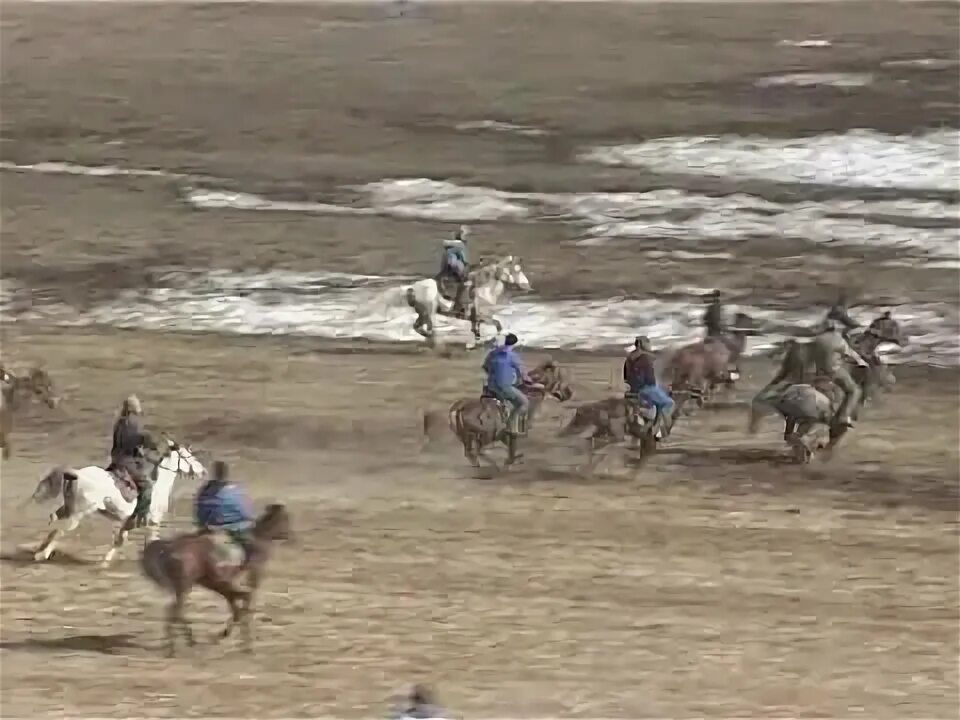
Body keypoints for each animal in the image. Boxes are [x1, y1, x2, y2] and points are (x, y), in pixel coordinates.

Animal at [28, 438, 205, 568]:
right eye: (190, 457)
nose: (203, 471)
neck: (158, 486)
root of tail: (77, 473)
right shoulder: (153, 522)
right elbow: (150, 541)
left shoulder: (128, 523)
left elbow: (119, 542)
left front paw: (105, 562)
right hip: (78, 513)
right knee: (60, 530)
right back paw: (41, 554)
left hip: (68, 508)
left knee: (53, 520)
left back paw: (40, 549)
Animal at [141, 504, 292, 656]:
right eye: (286, 519)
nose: (290, 536)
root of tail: (168, 549)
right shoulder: (246, 582)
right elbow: (243, 608)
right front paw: (236, 640)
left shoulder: (227, 587)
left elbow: (237, 609)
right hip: (185, 586)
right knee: (176, 610)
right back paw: (180, 644)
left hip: (184, 587)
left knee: (173, 610)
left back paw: (180, 643)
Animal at [388, 256, 532, 348]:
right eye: (516, 271)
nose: (528, 287)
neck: (484, 291)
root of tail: (414, 287)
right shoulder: (483, 316)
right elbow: (498, 325)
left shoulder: (476, 320)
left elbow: (477, 331)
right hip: (428, 312)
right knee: (426, 327)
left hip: (422, 313)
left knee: (418, 326)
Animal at [440, 358, 568, 470]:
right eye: (559, 379)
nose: (569, 393)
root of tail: (459, 408)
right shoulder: (512, 434)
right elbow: (512, 451)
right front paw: (510, 462)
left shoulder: (504, 435)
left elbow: (511, 450)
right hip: (486, 434)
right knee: (477, 451)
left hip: (466, 436)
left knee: (470, 453)